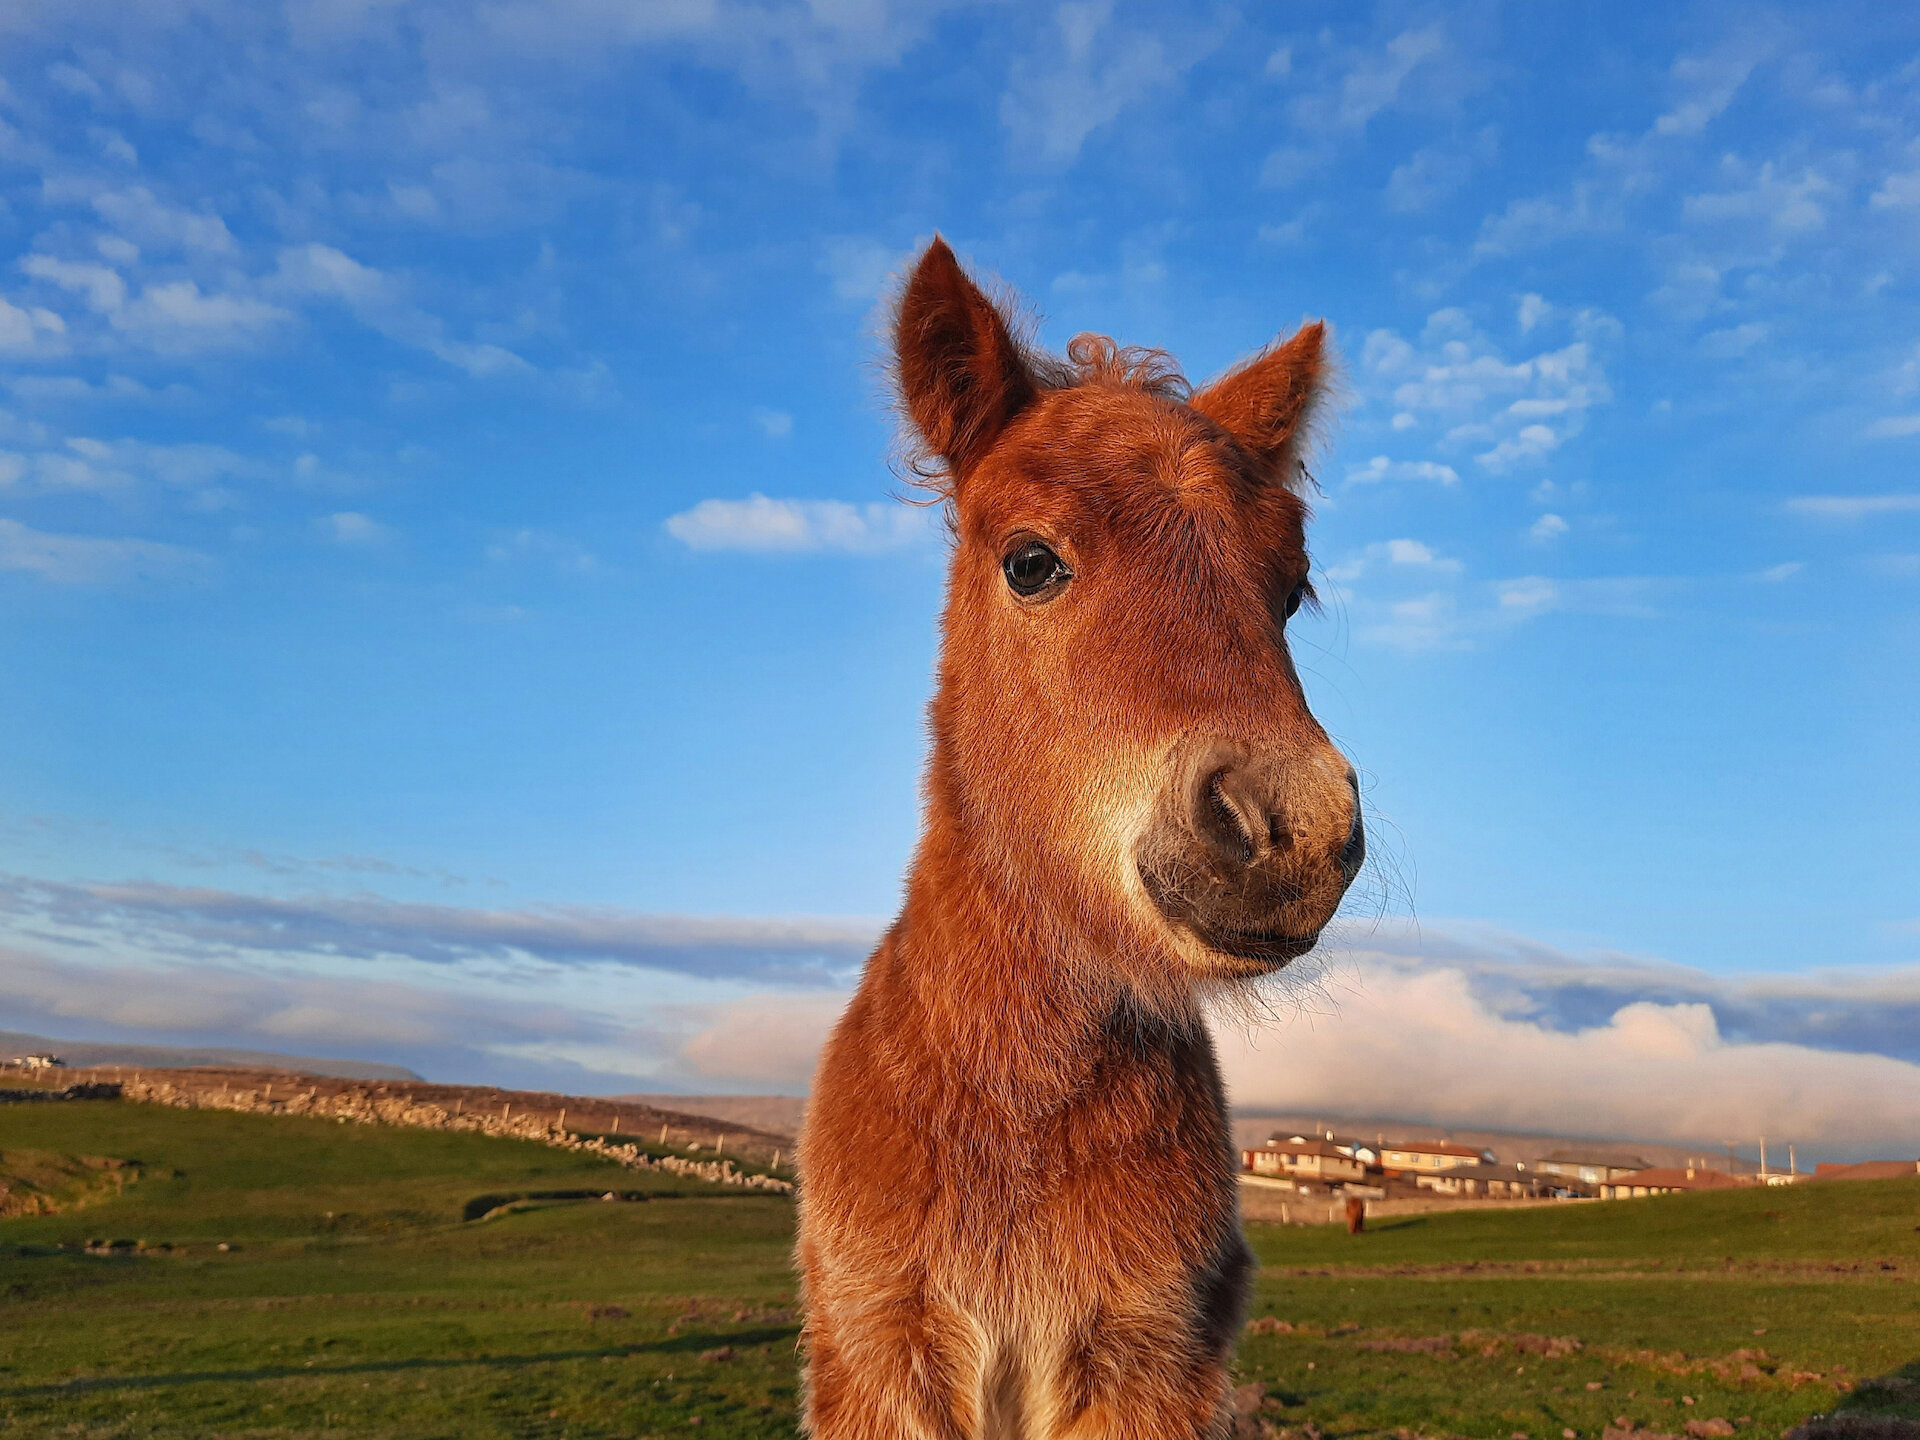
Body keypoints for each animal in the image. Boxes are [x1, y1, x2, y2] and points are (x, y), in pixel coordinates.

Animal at [794, 242, 1367, 1436]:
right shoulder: (881, 1347)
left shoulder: (1147, 1356)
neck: (1018, 1108)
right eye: (1030, 562)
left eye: (1291, 591)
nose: (1290, 827)